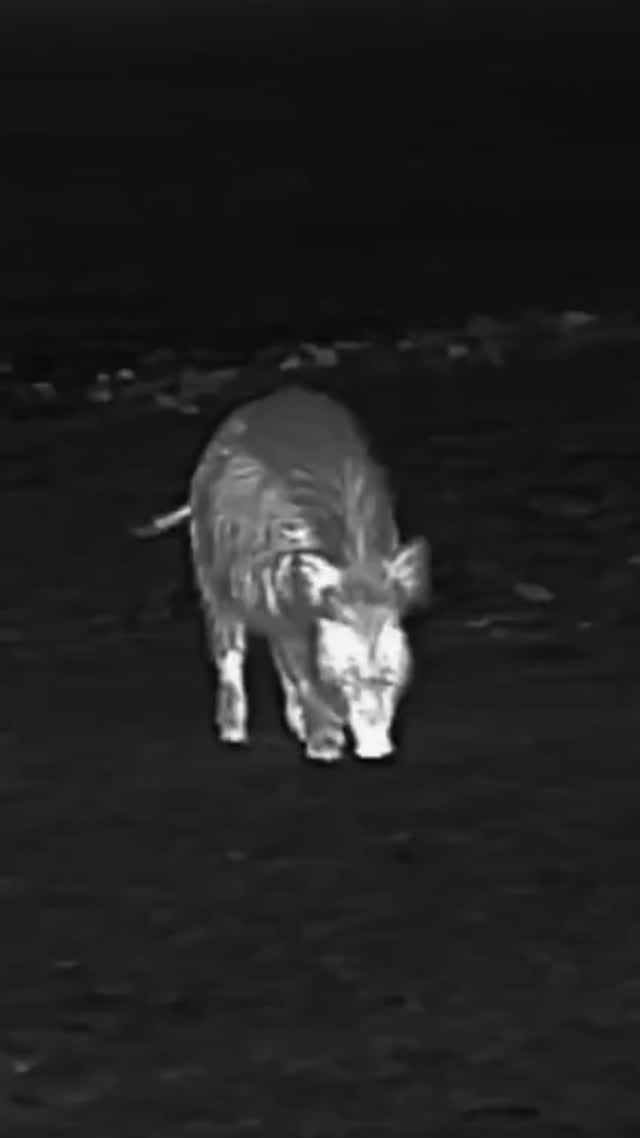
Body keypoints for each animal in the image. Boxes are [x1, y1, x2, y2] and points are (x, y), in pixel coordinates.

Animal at [132, 385, 429, 762]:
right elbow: (301, 671)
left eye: (390, 676)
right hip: (211, 578)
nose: (376, 750)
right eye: (346, 676)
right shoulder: (277, 602)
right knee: (228, 648)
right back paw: (233, 733)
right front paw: (324, 749)